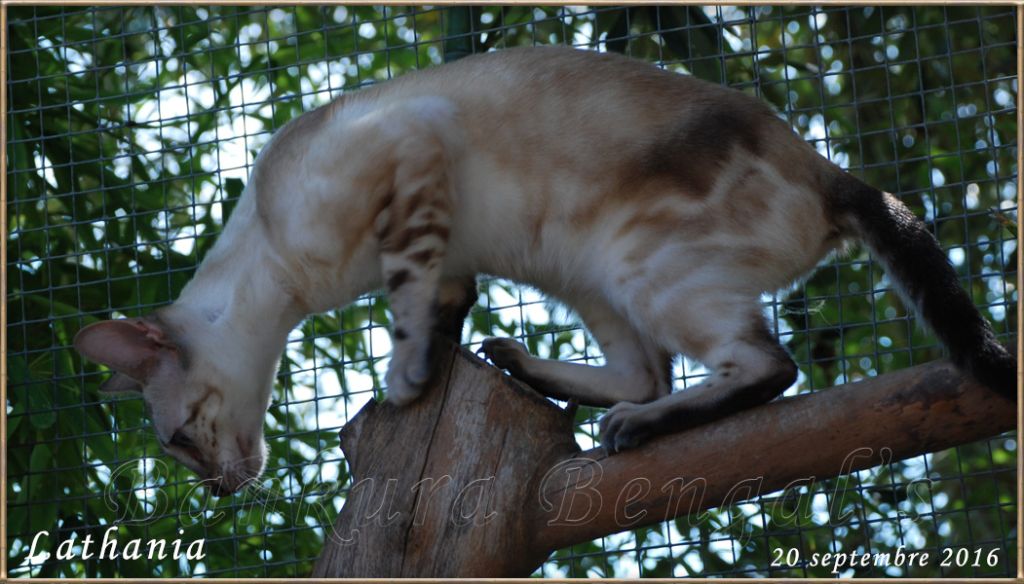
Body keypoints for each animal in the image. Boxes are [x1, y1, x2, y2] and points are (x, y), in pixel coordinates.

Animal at [74, 45, 1015, 493]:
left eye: (177, 440)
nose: (220, 492)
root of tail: (829, 171)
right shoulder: (449, 248)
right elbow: (437, 303)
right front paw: (435, 363)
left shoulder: (414, 155)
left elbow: (406, 305)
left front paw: (403, 385)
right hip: (585, 278)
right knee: (648, 370)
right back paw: (520, 364)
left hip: (644, 271)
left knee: (762, 368)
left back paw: (631, 429)